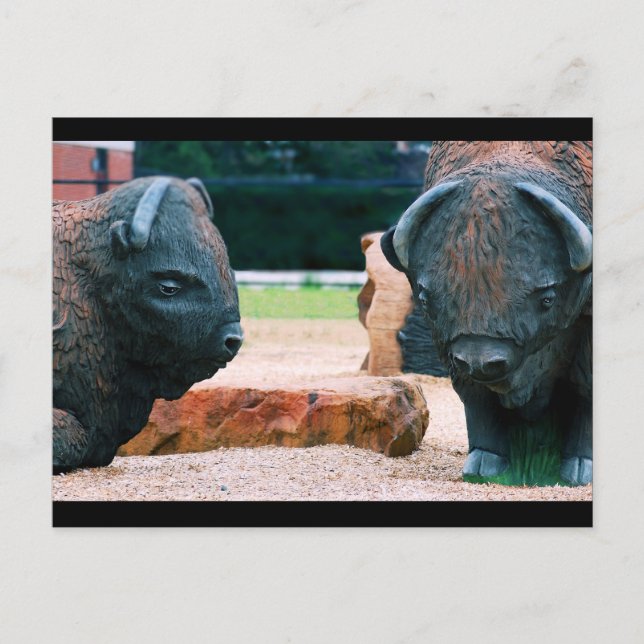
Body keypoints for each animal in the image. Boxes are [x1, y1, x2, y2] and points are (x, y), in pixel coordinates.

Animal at [381, 141, 592, 485]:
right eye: (425, 298)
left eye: (547, 298)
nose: (481, 362)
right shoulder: (448, 348)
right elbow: (474, 395)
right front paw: (482, 463)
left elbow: (584, 388)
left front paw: (579, 467)